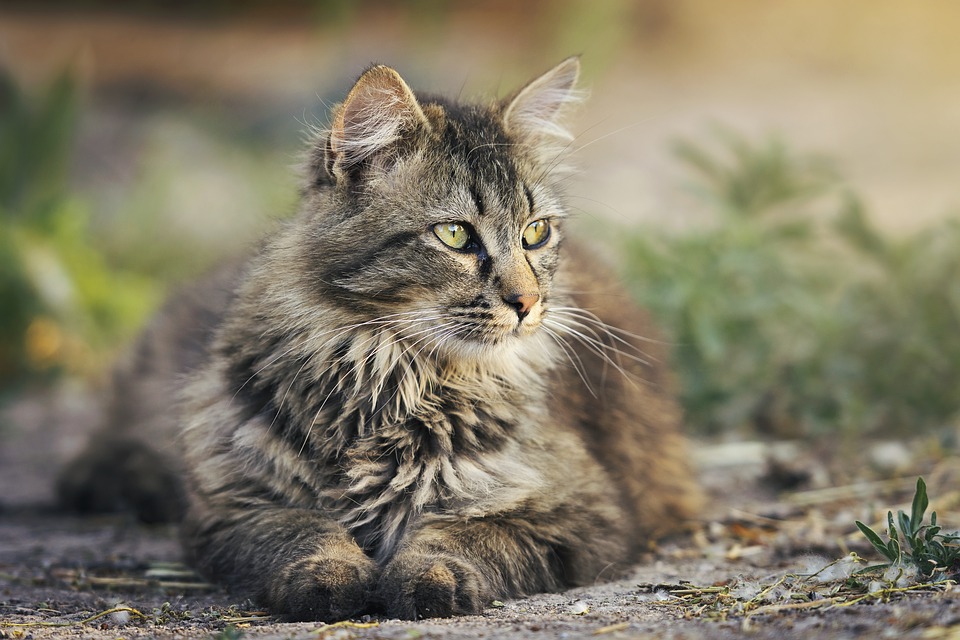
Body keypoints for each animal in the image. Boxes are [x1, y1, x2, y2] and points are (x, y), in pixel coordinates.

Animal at [62, 58, 704, 620]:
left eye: (536, 233)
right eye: (455, 235)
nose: (527, 304)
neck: (390, 376)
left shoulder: (585, 513)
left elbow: (463, 535)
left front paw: (428, 579)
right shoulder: (234, 505)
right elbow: (302, 531)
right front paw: (330, 577)